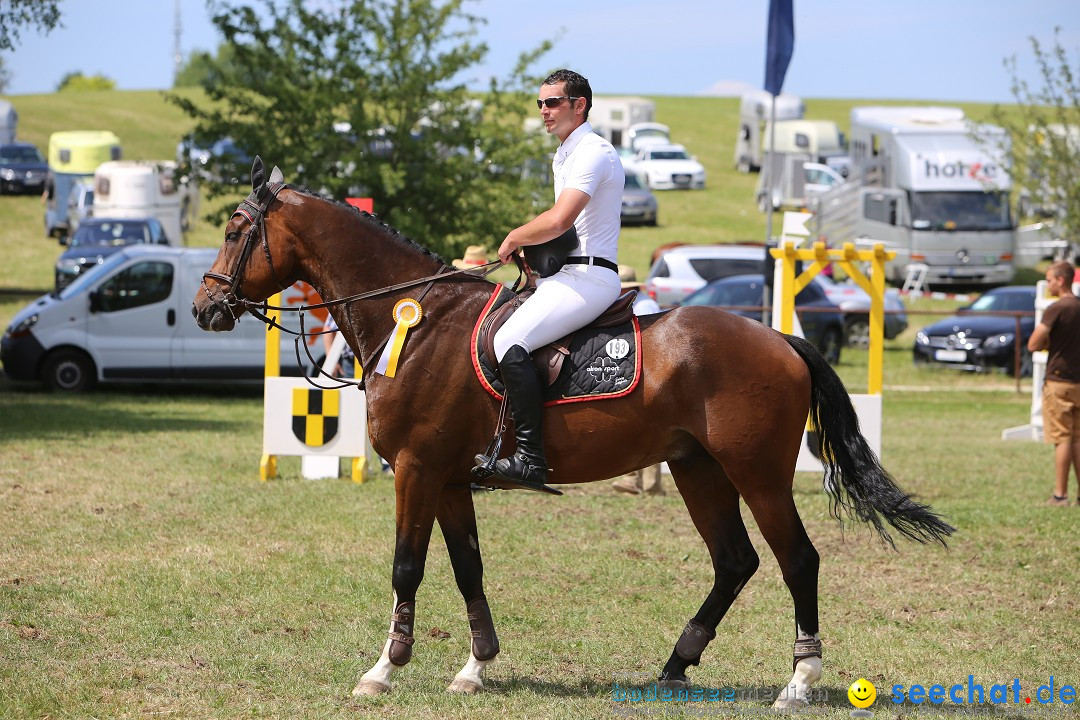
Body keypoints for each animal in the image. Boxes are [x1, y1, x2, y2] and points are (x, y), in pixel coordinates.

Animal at [194, 158, 954, 708]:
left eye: (235, 229)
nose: (205, 307)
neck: (415, 320)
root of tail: (780, 339)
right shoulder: (449, 478)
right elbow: (468, 567)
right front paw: (476, 666)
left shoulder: (415, 468)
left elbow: (407, 566)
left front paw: (383, 670)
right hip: (697, 468)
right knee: (734, 561)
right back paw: (675, 666)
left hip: (757, 472)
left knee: (798, 560)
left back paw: (797, 683)